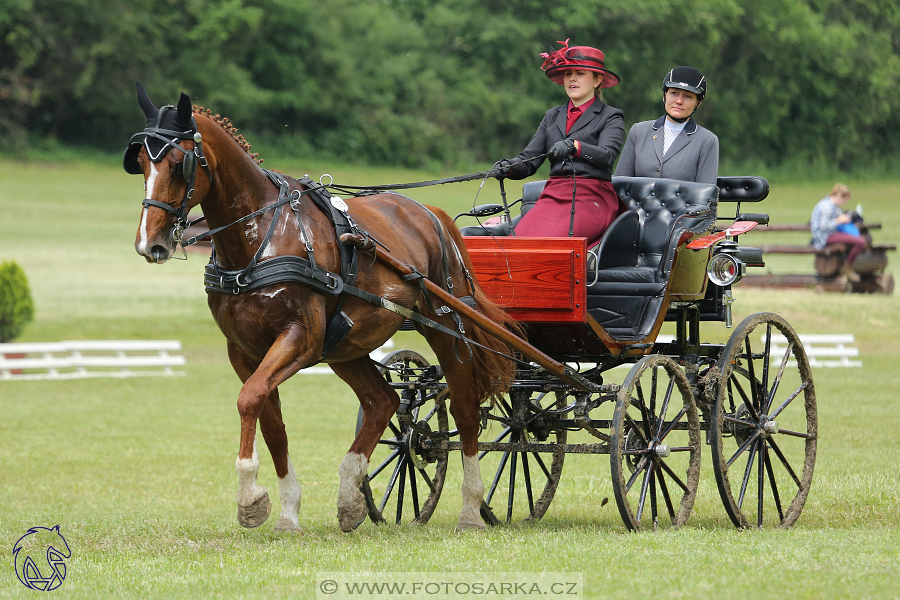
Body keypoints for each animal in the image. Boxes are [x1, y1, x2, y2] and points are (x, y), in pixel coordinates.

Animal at [128, 83, 520, 528]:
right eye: (140, 162)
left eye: (180, 164)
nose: (149, 244)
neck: (260, 236)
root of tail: (430, 212)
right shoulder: (244, 350)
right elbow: (270, 420)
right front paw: (286, 511)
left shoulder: (301, 337)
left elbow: (249, 398)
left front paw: (250, 497)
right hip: (346, 345)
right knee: (382, 401)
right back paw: (351, 496)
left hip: (446, 326)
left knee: (465, 407)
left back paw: (471, 507)